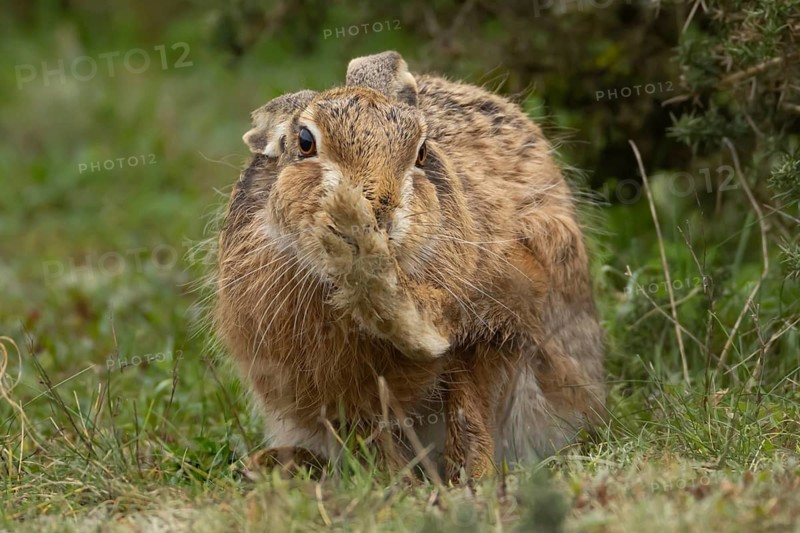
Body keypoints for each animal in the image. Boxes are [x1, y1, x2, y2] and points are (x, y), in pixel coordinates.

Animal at [214, 51, 605, 482]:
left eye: (421, 153)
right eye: (305, 143)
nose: (376, 212)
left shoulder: (495, 317)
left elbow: (469, 408)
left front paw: (472, 478)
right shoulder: (334, 383)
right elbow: (369, 430)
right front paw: (399, 483)